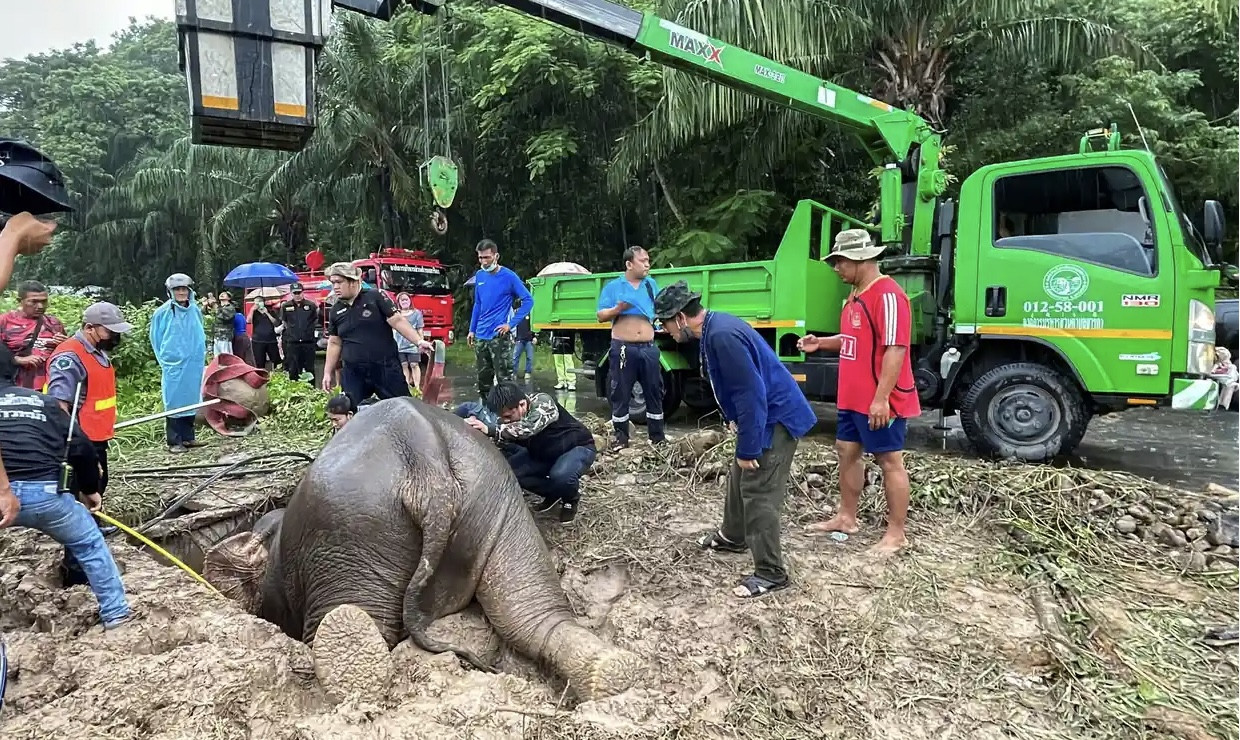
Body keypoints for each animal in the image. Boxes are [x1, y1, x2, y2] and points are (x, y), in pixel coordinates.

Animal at [200, 394, 649, 699]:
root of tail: (423, 458)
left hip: (351, 533)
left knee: (357, 621)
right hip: (499, 503)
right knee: (529, 612)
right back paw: (615, 672)